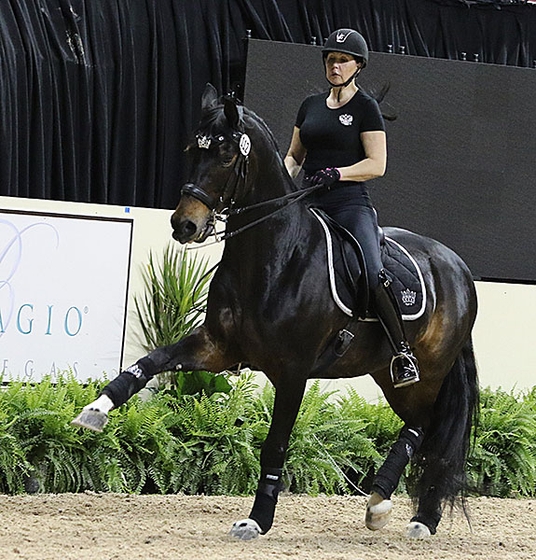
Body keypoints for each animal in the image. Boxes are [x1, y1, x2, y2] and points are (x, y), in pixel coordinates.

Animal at [73, 83, 480, 540]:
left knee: (428, 428)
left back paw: (404, 512)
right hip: (386, 373)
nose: (185, 226)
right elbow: (150, 362)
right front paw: (95, 410)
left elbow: (275, 443)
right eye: (191, 150)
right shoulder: (218, 347)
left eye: (226, 155)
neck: (276, 256)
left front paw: (257, 518)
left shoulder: (293, 371)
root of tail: (457, 266)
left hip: (425, 372)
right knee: (423, 429)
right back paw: (395, 508)